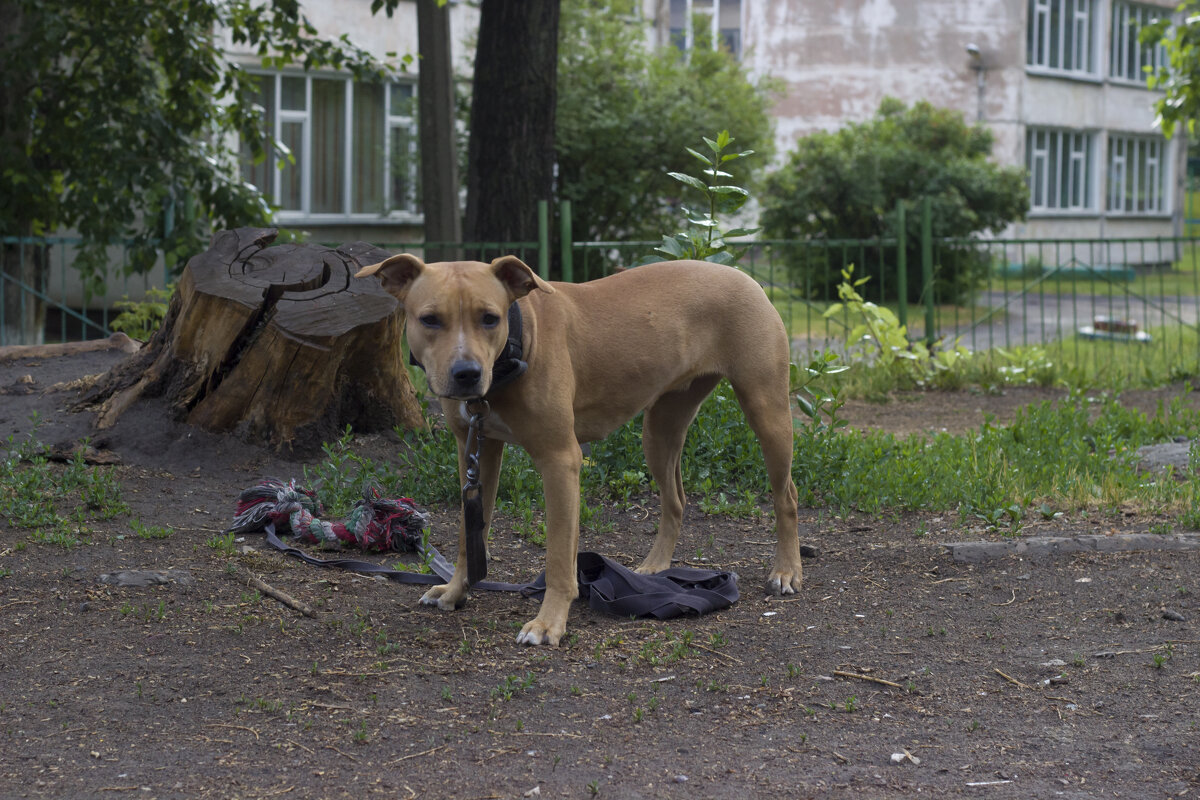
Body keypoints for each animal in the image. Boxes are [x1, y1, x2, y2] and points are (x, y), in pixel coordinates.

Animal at [355, 255, 806, 642]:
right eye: (430, 319)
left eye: (490, 318)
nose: (467, 373)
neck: (517, 344)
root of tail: (741, 274)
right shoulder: (477, 454)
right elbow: (472, 535)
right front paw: (453, 590)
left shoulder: (559, 460)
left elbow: (558, 557)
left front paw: (548, 623)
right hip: (660, 428)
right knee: (675, 499)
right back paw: (656, 566)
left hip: (766, 411)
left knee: (787, 494)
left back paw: (786, 571)